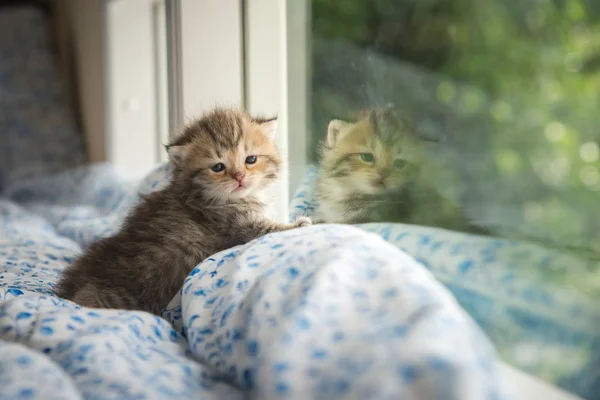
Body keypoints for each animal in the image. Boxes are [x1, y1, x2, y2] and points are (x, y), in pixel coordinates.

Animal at [56, 108, 312, 314]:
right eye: (218, 167)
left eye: (251, 159)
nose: (239, 177)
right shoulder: (240, 228)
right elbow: (270, 229)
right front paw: (300, 224)